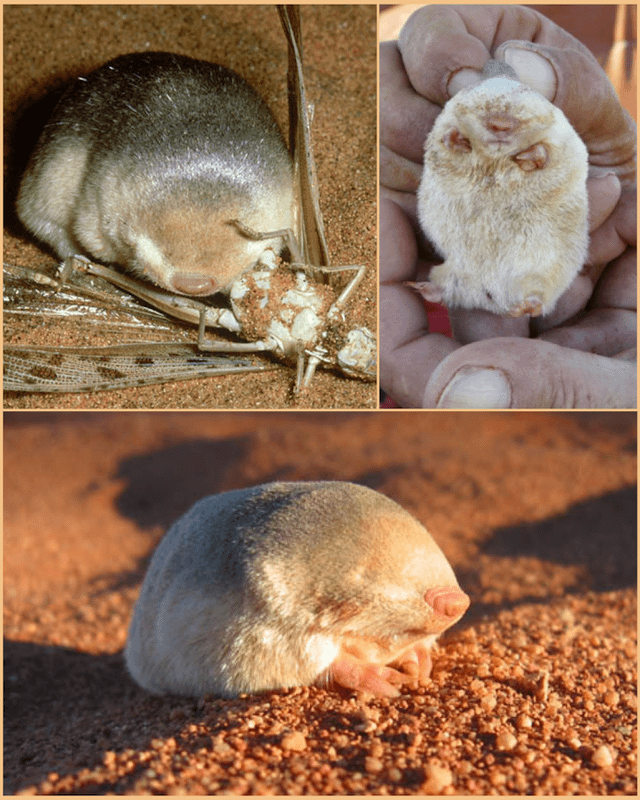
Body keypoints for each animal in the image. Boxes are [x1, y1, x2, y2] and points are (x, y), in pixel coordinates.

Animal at [125, 481, 470, 699]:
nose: (457, 602)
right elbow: (318, 661)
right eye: (362, 576)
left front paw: (418, 661)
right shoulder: (257, 630)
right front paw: (380, 678)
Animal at [411, 59, 589, 318]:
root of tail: (492, 300)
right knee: (442, 290)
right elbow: (447, 137)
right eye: (477, 92)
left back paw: (520, 309)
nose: (500, 125)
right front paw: (461, 141)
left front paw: (525, 158)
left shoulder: (560, 140)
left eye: (528, 93)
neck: (495, 161)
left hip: (542, 275)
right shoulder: (443, 128)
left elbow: (546, 151)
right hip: (451, 274)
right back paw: (416, 286)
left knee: (537, 298)